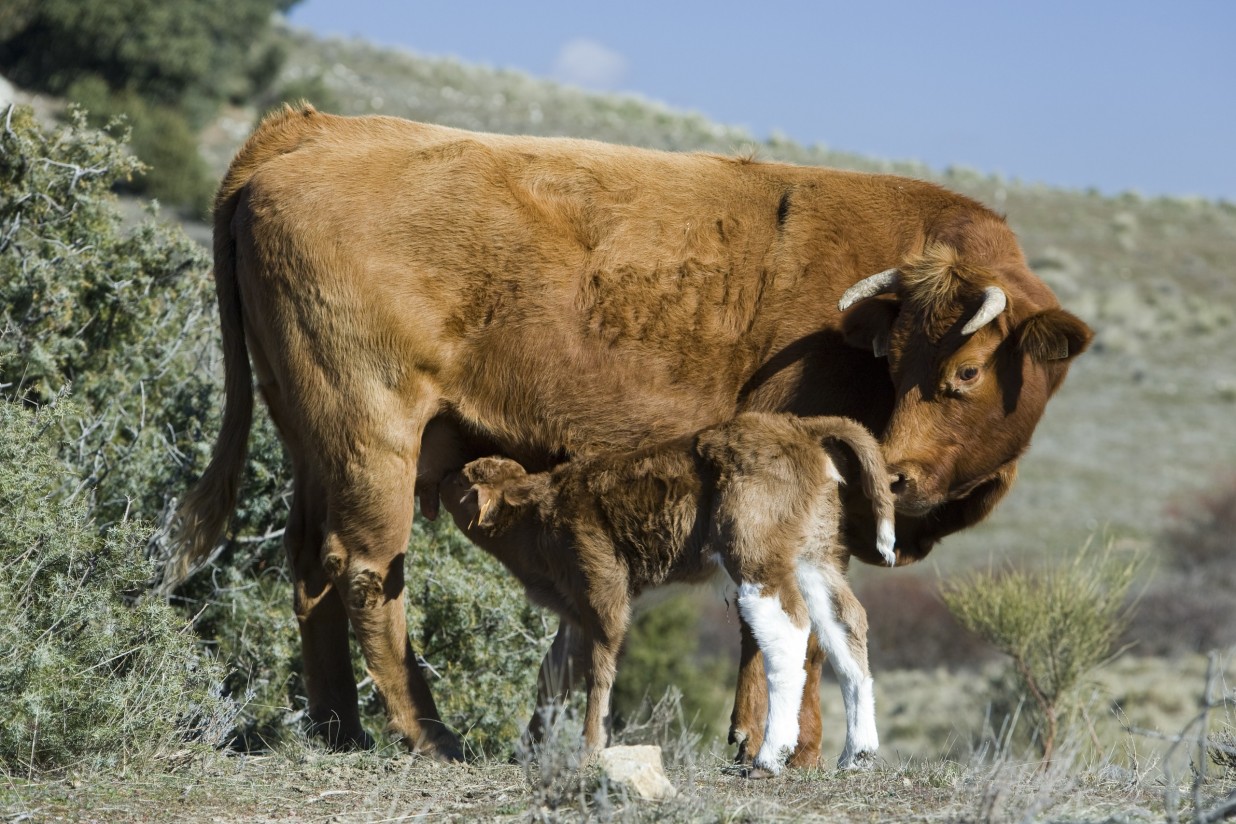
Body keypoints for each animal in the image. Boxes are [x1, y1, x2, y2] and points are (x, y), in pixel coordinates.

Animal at [440, 415, 894, 775]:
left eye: (462, 479)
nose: (441, 478)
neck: (538, 516)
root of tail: (801, 427)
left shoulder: (603, 592)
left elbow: (598, 671)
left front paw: (588, 752)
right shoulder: (575, 608)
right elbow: (552, 675)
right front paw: (525, 752)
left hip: (755, 552)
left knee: (789, 628)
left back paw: (768, 757)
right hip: (814, 556)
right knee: (847, 622)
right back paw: (857, 754)